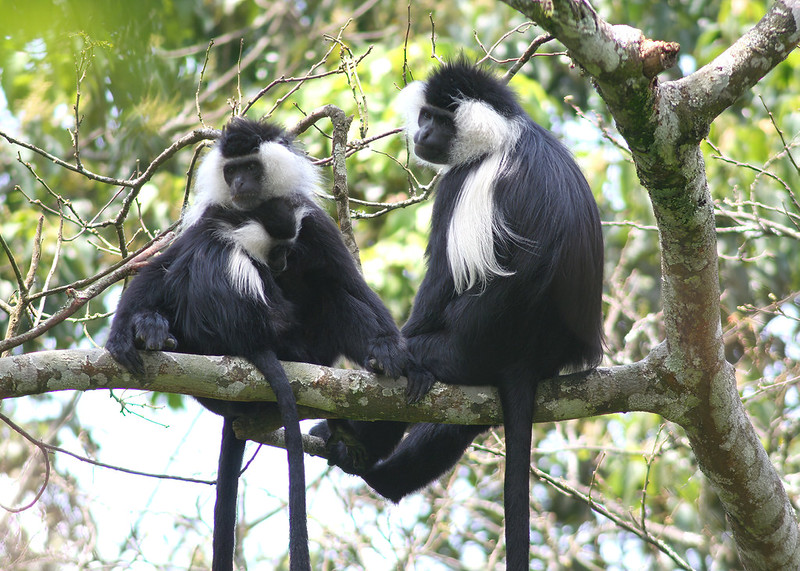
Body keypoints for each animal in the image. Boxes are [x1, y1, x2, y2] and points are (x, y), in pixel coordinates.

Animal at [106, 117, 409, 571]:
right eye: (231, 171)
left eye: (250, 167)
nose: (239, 183)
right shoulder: (213, 217)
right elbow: (157, 271)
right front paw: (125, 333)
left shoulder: (312, 221)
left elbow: (350, 282)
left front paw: (390, 348)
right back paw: (152, 329)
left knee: (337, 298)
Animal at [312, 61, 604, 570]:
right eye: (426, 114)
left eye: (442, 121)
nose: (423, 133)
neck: (502, 135)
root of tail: (526, 354)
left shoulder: (461, 184)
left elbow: (440, 280)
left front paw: (390, 349)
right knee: (461, 423)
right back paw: (382, 476)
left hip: (463, 348)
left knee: (417, 370)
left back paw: (358, 440)